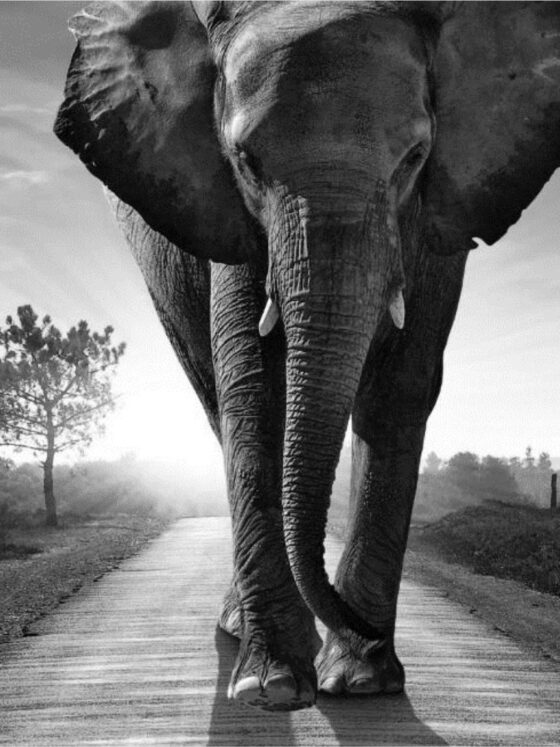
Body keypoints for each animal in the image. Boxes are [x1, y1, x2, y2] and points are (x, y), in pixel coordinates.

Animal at [54, 1, 560, 711]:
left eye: (416, 156)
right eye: (245, 160)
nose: (363, 627)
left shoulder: (441, 217)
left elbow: (400, 389)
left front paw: (363, 680)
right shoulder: (228, 211)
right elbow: (254, 387)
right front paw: (273, 686)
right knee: (215, 402)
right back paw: (239, 628)